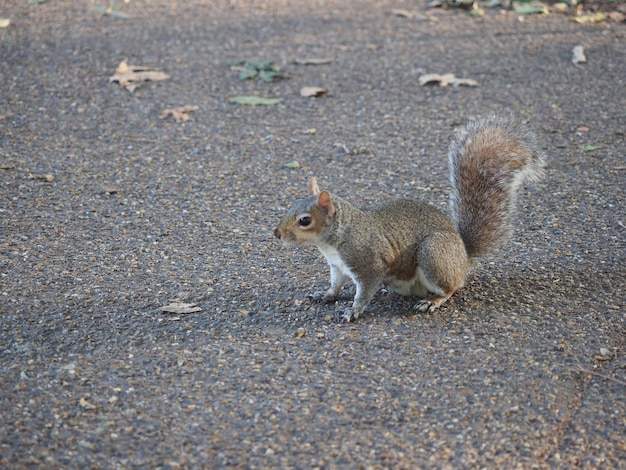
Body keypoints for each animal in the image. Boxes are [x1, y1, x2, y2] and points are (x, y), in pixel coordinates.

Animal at [272, 115, 540, 322]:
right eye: (290, 206)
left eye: (304, 220)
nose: (276, 234)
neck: (335, 238)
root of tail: (463, 256)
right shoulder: (337, 265)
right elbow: (336, 284)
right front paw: (326, 295)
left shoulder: (369, 263)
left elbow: (363, 292)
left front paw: (353, 311)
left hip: (434, 255)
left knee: (452, 287)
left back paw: (433, 300)